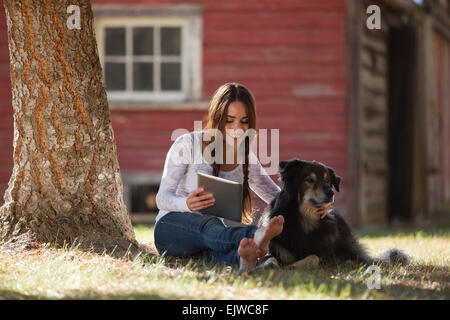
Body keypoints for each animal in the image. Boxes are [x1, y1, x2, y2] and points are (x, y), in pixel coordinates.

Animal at [258, 158, 410, 268]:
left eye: (328, 181)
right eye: (310, 180)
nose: (331, 193)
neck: (305, 221)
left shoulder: (325, 256)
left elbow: (314, 257)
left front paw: (292, 266)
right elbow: (271, 258)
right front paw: (271, 264)